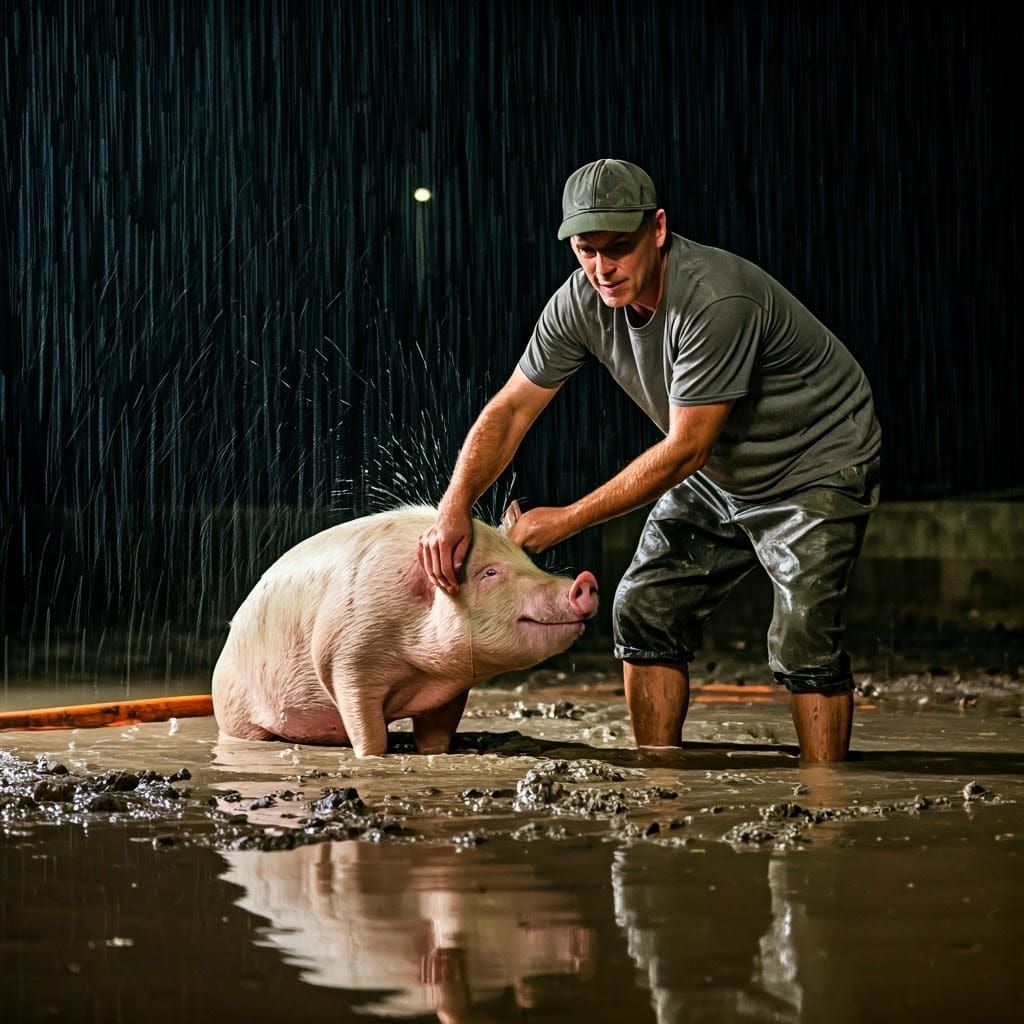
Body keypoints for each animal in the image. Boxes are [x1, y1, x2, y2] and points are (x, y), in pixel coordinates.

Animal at [211, 506, 598, 756]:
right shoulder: (345, 661)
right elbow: (369, 734)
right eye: (489, 573)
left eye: (529, 561)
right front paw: (371, 756)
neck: (421, 671)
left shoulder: (451, 690)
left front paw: (436, 753)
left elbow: (436, 736)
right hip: (234, 709)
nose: (583, 580)